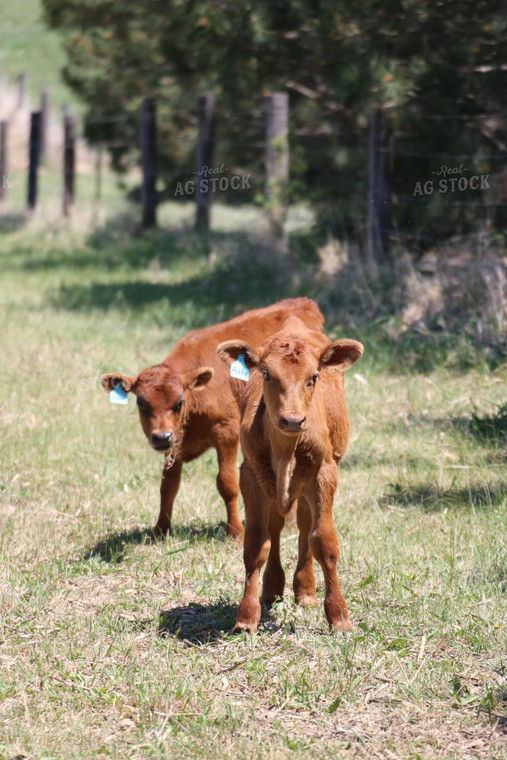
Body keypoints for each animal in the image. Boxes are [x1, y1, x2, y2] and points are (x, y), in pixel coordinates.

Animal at [100, 298, 324, 540]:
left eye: (179, 402)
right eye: (141, 403)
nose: (161, 437)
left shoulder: (226, 431)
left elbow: (227, 483)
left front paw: (236, 531)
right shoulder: (174, 443)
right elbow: (168, 486)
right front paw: (161, 530)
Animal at [218, 318, 366, 632]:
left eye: (314, 377)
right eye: (266, 374)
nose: (293, 420)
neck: (285, 450)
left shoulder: (324, 474)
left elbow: (323, 540)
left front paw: (338, 615)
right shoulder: (250, 476)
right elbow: (256, 544)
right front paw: (246, 617)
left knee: (304, 526)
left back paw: (306, 591)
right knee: (276, 528)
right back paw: (273, 589)